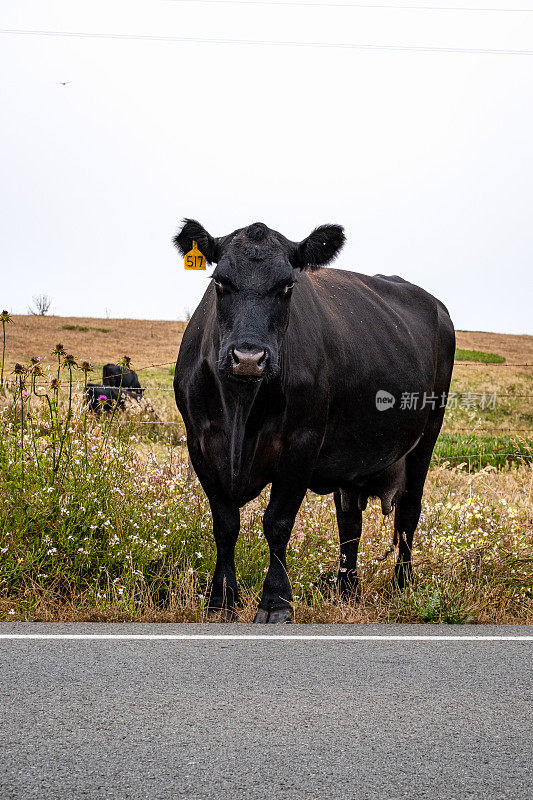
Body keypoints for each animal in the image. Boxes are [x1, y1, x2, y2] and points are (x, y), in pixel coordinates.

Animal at [172, 219, 456, 624]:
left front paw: (275, 602)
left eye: (288, 285)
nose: (248, 357)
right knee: (350, 521)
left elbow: (277, 523)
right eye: (220, 281)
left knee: (408, 514)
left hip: (427, 434)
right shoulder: (200, 444)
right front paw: (221, 600)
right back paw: (346, 591)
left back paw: (403, 586)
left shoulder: (301, 445)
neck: (240, 410)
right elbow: (225, 524)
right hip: (355, 456)